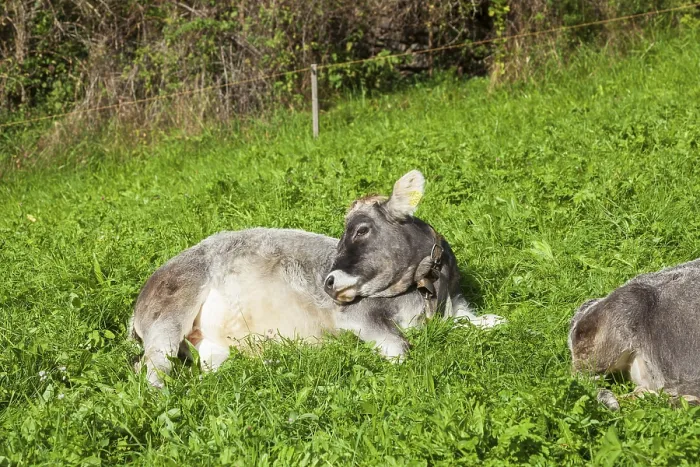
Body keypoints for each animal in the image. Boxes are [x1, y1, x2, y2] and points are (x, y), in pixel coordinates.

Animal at [130, 170, 504, 387]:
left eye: (362, 230)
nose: (328, 281)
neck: (423, 295)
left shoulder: (457, 308)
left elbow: (492, 321)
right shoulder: (358, 317)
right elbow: (401, 349)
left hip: (211, 345)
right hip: (169, 314)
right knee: (150, 369)